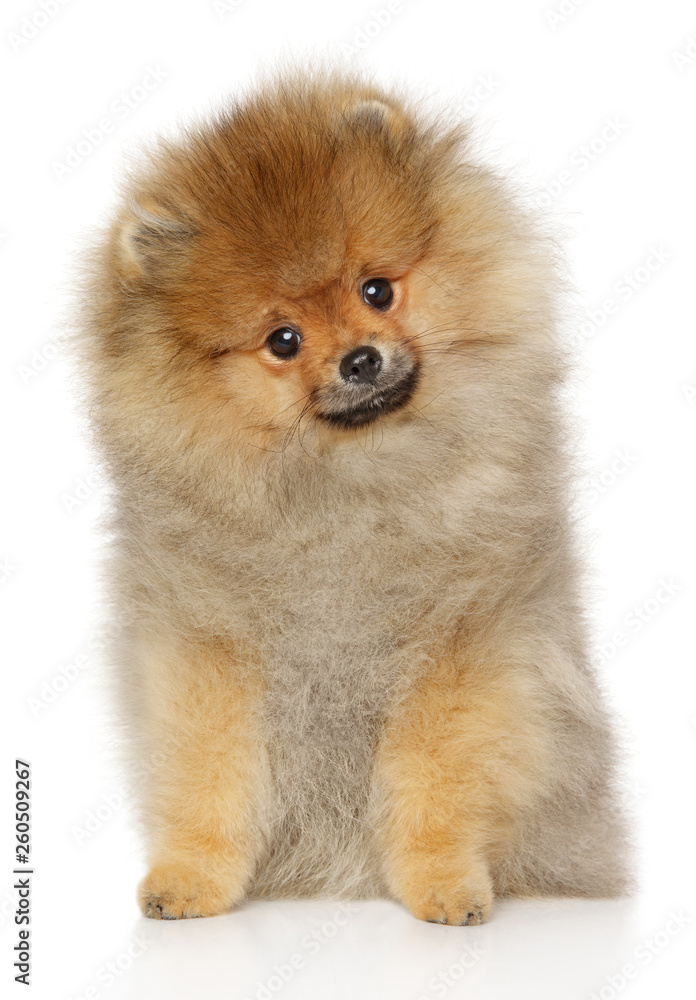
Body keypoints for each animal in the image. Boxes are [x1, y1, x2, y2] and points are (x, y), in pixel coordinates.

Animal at [77, 72, 632, 928]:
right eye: (283, 340)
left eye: (376, 290)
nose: (360, 359)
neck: (344, 491)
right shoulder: (206, 649)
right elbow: (209, 776)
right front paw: (190, 877)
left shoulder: (462, 643)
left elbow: (437, 779)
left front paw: (444, 884)